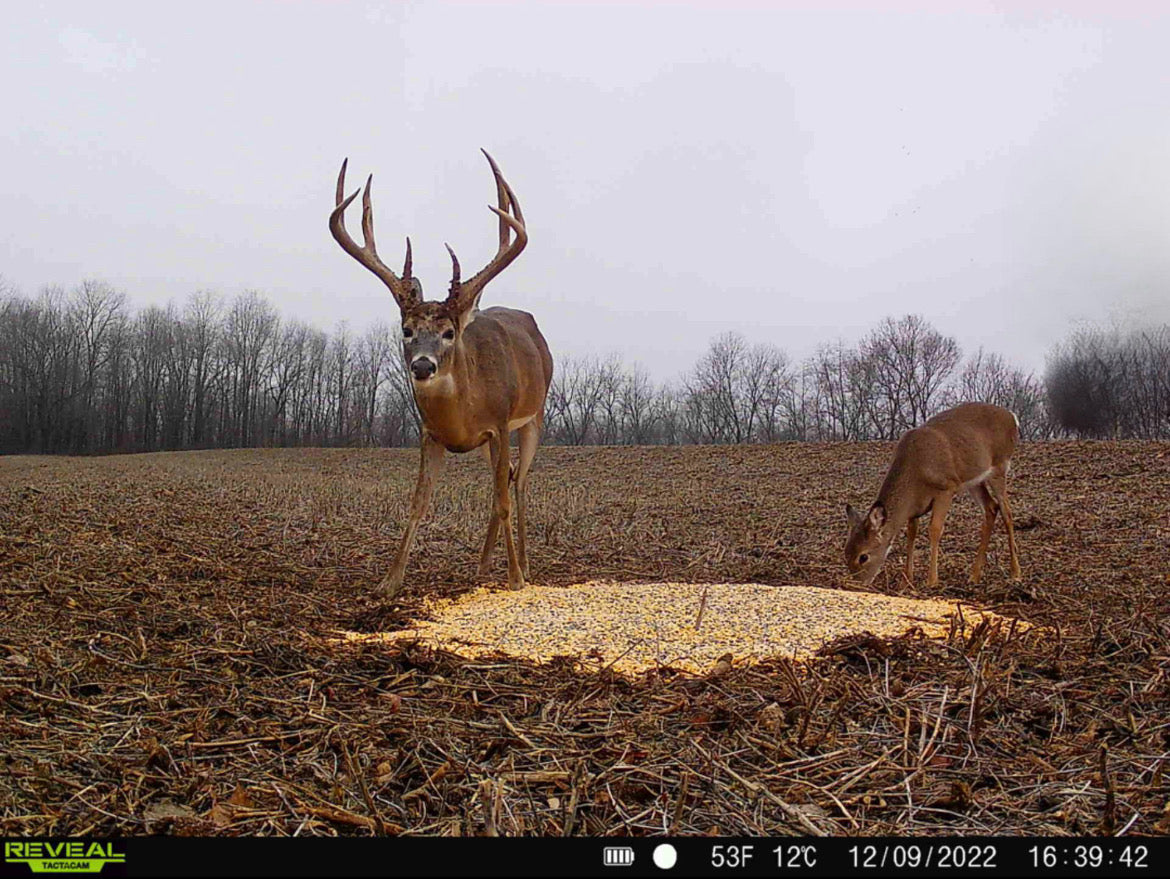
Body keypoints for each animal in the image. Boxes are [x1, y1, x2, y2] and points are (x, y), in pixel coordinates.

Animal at [329, 150, 553, 598]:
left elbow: (504, 498)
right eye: (406, 329)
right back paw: (483, 566)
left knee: (519, 484)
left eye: (449, 332)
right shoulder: (431, 433)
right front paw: (388, 581)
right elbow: (419, 501)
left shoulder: (499, 423)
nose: (422, 365)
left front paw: (516, 577)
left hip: (533, 416)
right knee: (503, 482)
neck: (461, 416)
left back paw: (524, 564)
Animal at [844, 402, 1023, 588]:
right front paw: (907, 579)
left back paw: (1015, 573)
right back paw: (974, 575)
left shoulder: (946, 489)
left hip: (1000, 466)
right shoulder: (914, 507)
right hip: (975, 481)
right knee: (991, 507)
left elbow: (935, 529)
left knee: (1007, 512)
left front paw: (932, 580)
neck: (916, 471)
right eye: (845, 554)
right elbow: (911, 533)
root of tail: (1012, 417)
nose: (855, 584)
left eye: (863, 556)